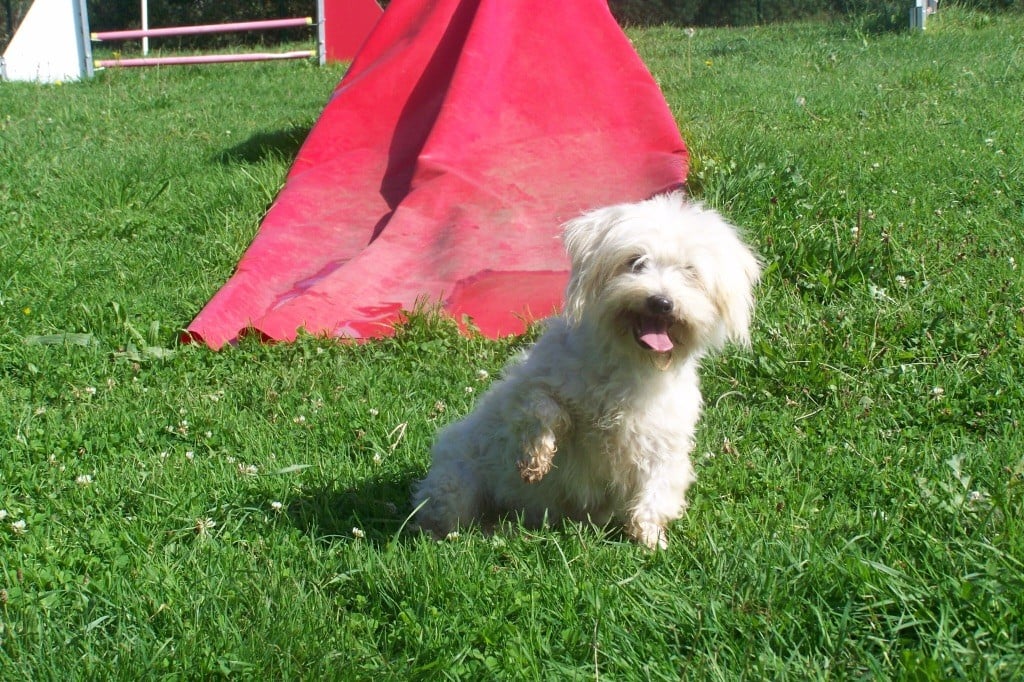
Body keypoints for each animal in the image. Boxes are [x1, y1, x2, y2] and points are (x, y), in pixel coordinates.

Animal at [409, 191, 761, 548]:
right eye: (635, 261)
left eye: (690, 272)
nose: (660, 302)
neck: (630, 362)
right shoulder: (525, 391)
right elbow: (544, 408)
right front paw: (538, 456)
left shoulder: (664, 443)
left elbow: (657, 491)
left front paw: (650, 538)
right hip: (457, 480)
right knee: (444, 513)